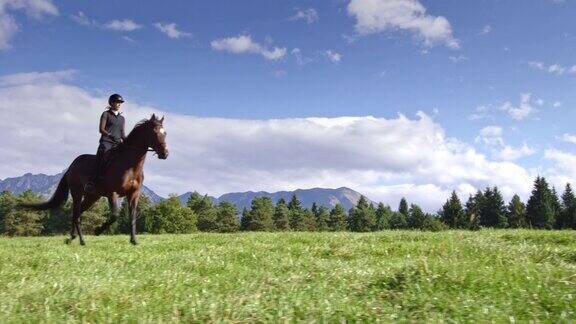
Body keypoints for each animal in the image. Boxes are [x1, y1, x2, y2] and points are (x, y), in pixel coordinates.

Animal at [19, 112, 169, 244]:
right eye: (155, 132)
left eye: (165, 133)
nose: (165, 154)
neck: (130, 165)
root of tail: (71, 166)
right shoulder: (112, 193)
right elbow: (114, 216)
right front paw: (98, 230)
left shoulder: (134, 194)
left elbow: (132, 216)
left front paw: (134, 241)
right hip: (77, 193)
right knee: (76, 214)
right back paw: (81, 240)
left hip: (92, 197)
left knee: (77, 213)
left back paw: (71, 238)